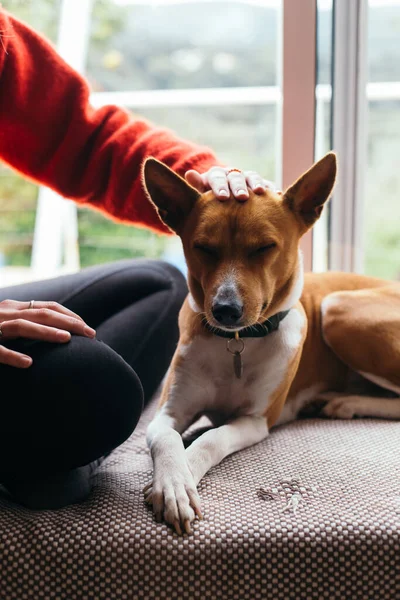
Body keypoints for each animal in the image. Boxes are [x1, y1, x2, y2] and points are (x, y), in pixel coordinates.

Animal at [141, 154, 400, 536]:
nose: (225, 309)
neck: (237, 344)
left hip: (337, 309)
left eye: (264, 247)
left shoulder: (255, 420)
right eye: (203, 248)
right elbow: (168, 439)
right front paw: (174, 482)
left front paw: (183, 479)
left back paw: (347, 402)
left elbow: (210, 439)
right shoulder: (168, 413)